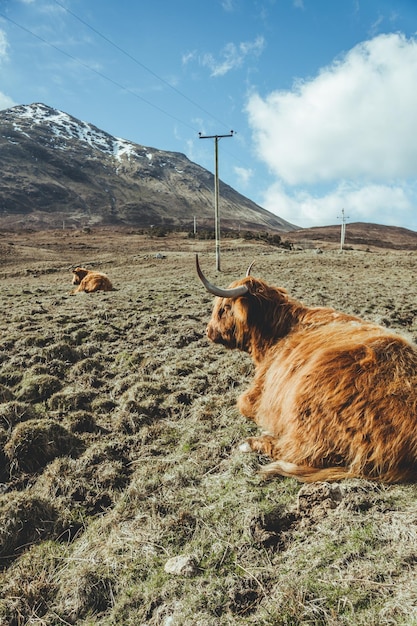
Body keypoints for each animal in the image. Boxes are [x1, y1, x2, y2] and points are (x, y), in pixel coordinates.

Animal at [197, 254, 416, 482]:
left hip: (310, 410)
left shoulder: (261, 389)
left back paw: (252, 442)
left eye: (224, 309)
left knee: (299, 451)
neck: (279, 332)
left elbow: (243, 403)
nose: (208, 331)